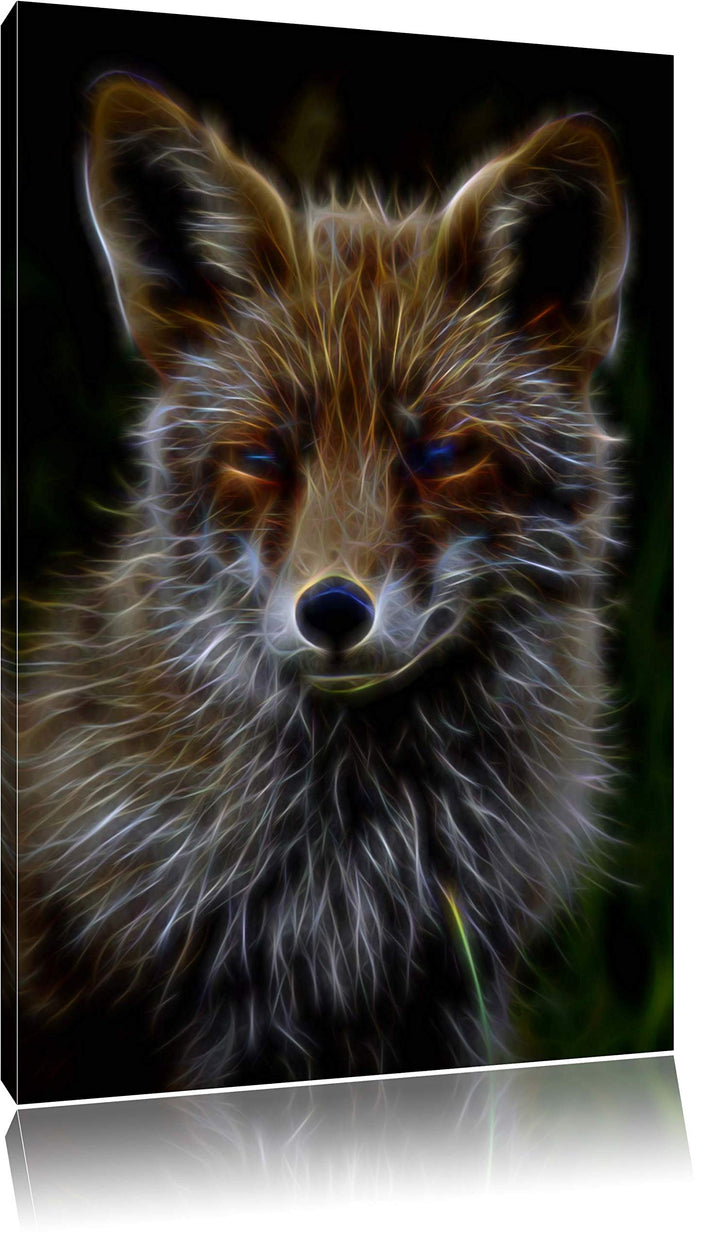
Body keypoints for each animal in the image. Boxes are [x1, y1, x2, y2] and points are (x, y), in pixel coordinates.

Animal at [9, 77, 628, 1100]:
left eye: (441, 456)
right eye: (262, 457)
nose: (333, 611)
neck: (358, 875)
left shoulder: (454, 999)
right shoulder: (214, 1021)